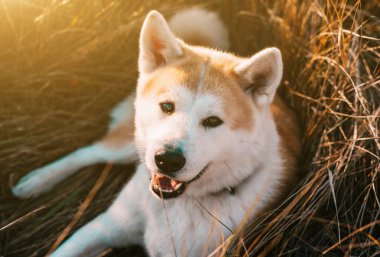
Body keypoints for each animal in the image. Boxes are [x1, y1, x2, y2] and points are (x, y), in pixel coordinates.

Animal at [11, 8, 302, 256]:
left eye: (213, 121)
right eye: (167, 106)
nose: (168, 160)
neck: (176, 205)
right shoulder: (104, 227)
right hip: (125, 147)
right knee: (89, 152)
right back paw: (36, 181)